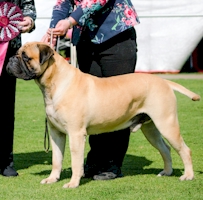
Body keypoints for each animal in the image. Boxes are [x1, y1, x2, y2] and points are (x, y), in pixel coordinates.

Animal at [5, 41, 200, 188]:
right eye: (17, 53)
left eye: (25, 57)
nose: (11, 58)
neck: (55, 83)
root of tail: (164, 81)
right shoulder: (56, 134)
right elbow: (56, 159)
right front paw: (52, 179)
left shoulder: (76, 134)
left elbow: (76, 162)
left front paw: (73, 183)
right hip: (151, 129)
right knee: (165, 149)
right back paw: (167, 172)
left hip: (167, 124)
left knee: (185, 150)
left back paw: (188, 176)